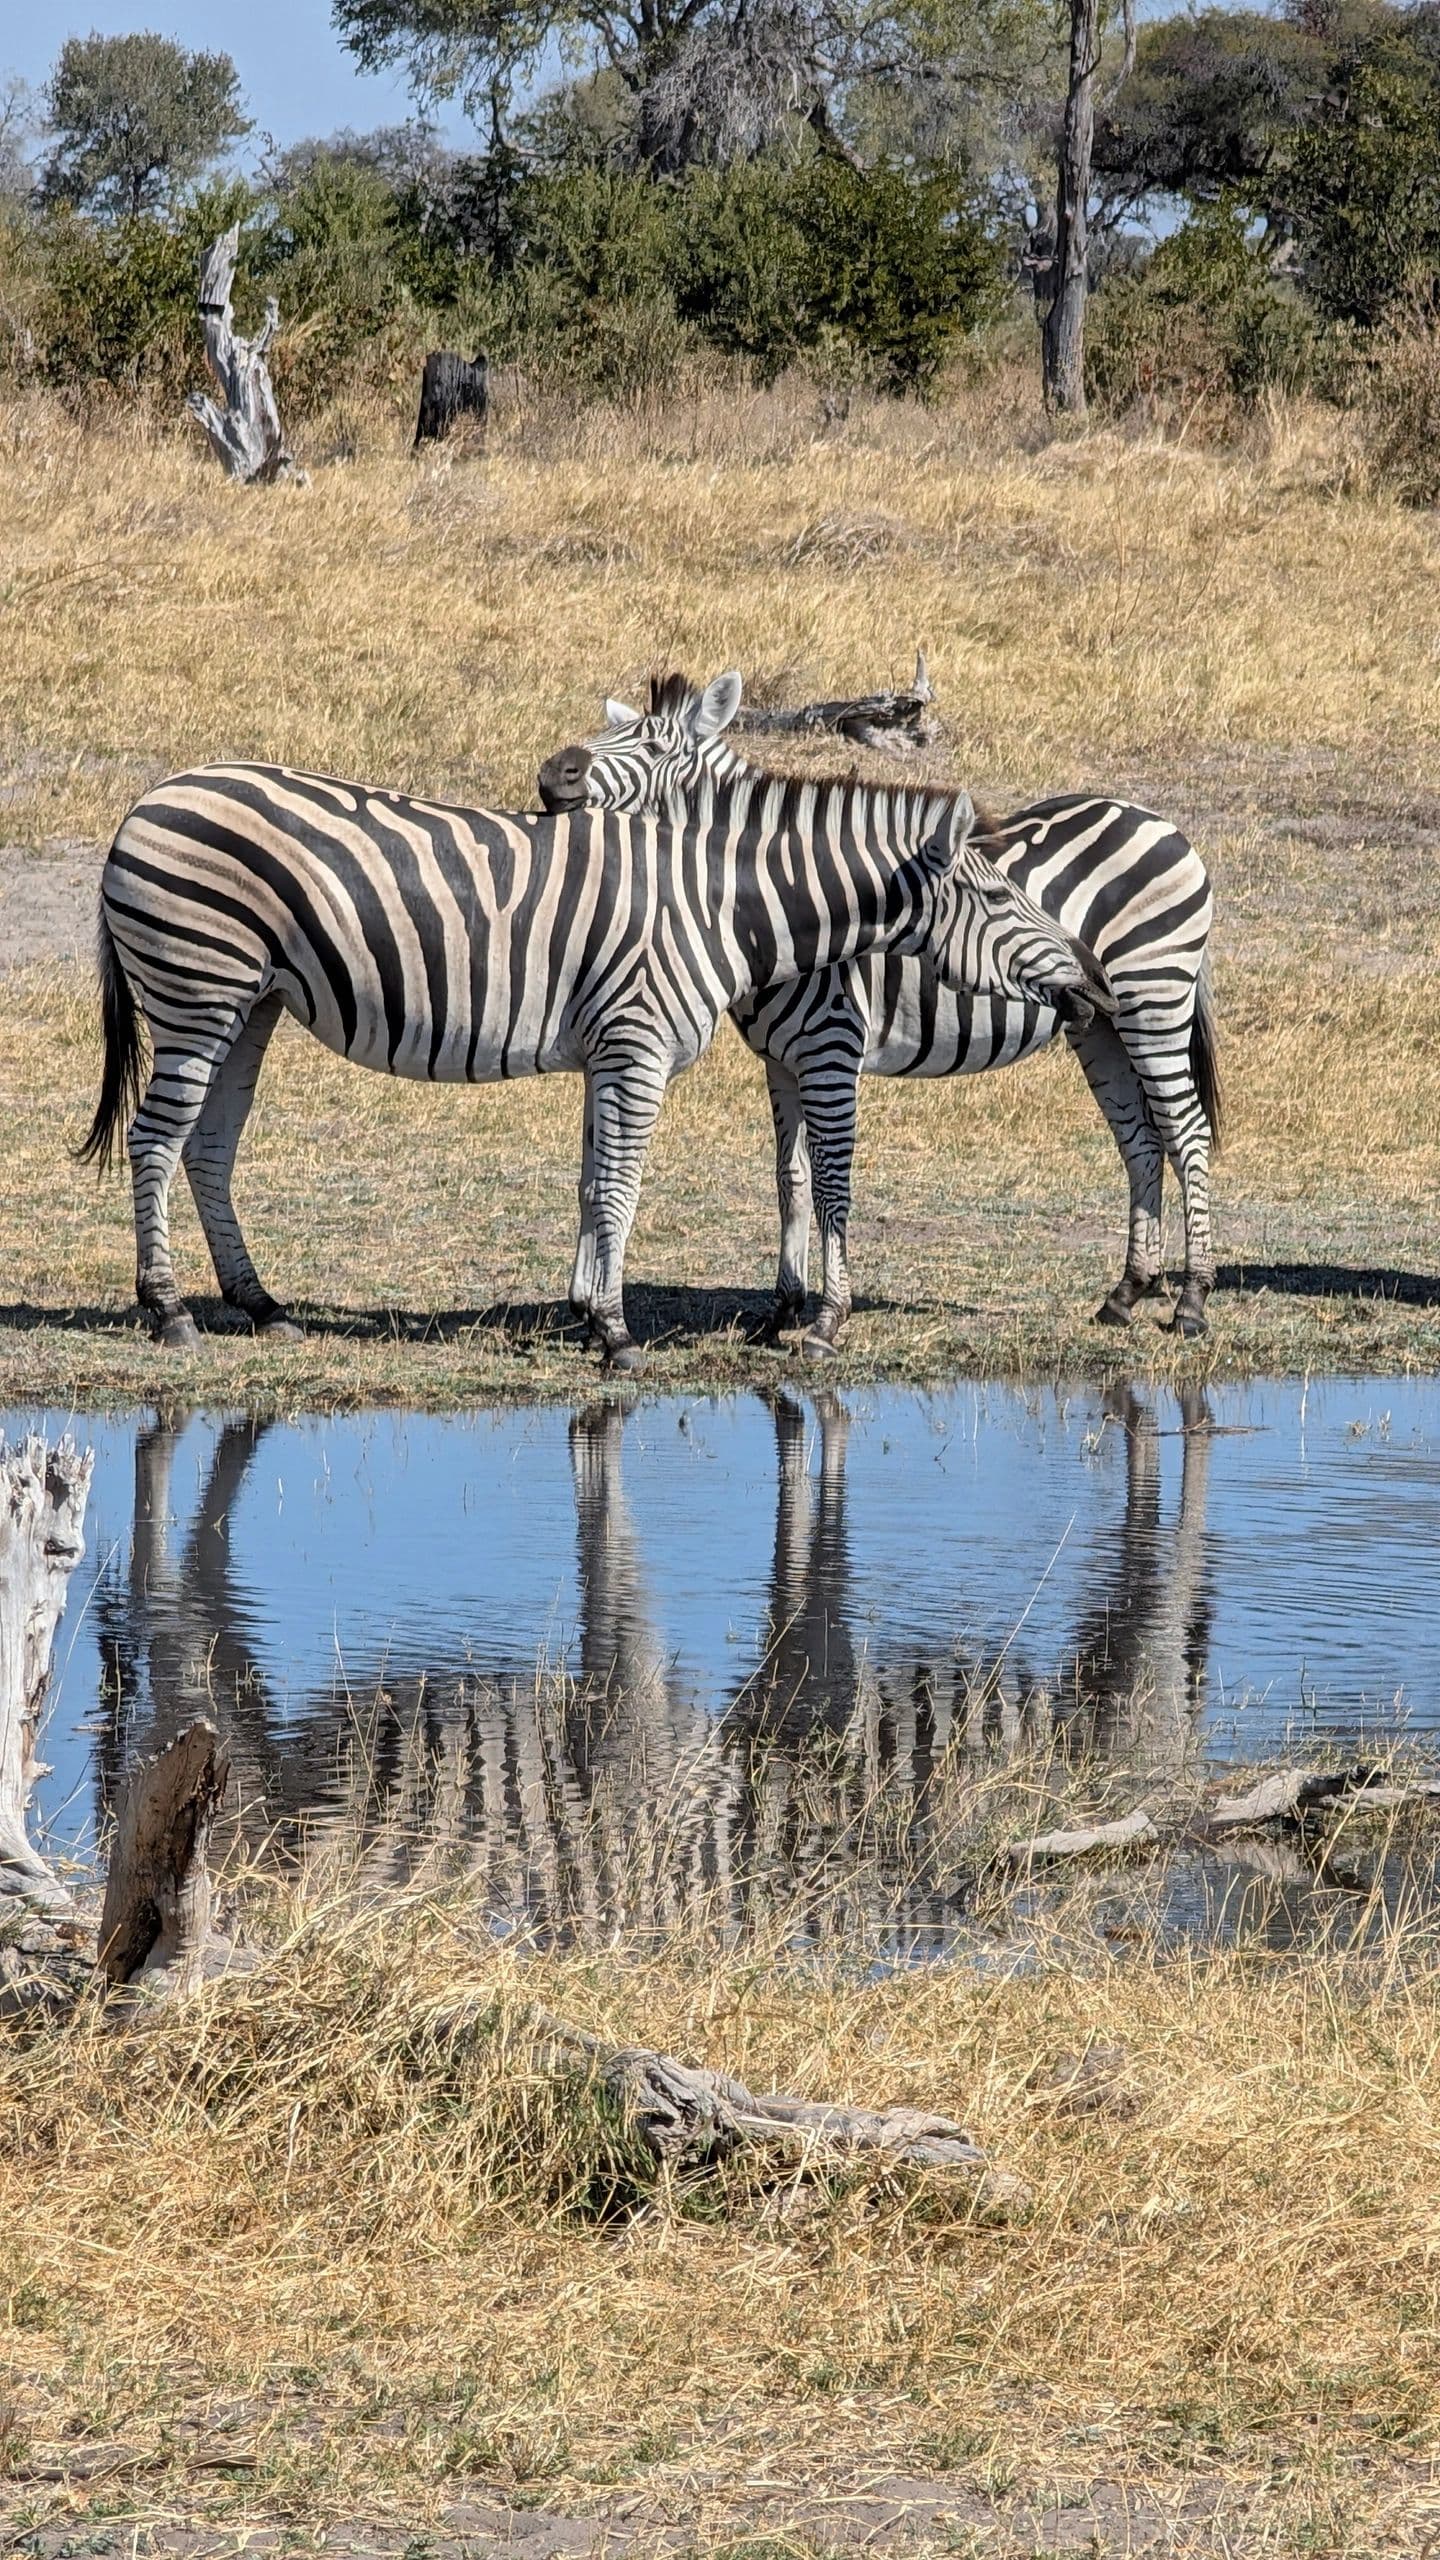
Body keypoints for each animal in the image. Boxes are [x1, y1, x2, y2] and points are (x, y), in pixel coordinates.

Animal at [79, 750, 1113, 1370]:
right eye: (1000, 897)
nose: (1091, 982)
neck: (718, 905)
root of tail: (146, 801)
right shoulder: (636, 1042)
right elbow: (621, 1187)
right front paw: (616, 1335)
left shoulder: (606, 1047)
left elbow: (589, 1182)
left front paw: (583, 1312)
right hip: (199, 988)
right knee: (154, 1143)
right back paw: (167, 1311)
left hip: (249, 1003)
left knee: (208, 1150)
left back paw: (260, 1306)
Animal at [537, 673, 1221, 1346]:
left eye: (651, 746)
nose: (550, 774)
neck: (763, 899)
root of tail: (1157, 820)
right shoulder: (780, 1059)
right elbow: (790, 1180)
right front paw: (781, 1309)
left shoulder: (832, 1046)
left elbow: (830, 1182)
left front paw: (825, 1320)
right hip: (1101, 1023)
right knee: (1139, 1138)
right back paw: (1126, 1293)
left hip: (1153, 996)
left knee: (1187, 1133)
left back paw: (1191, 1302)